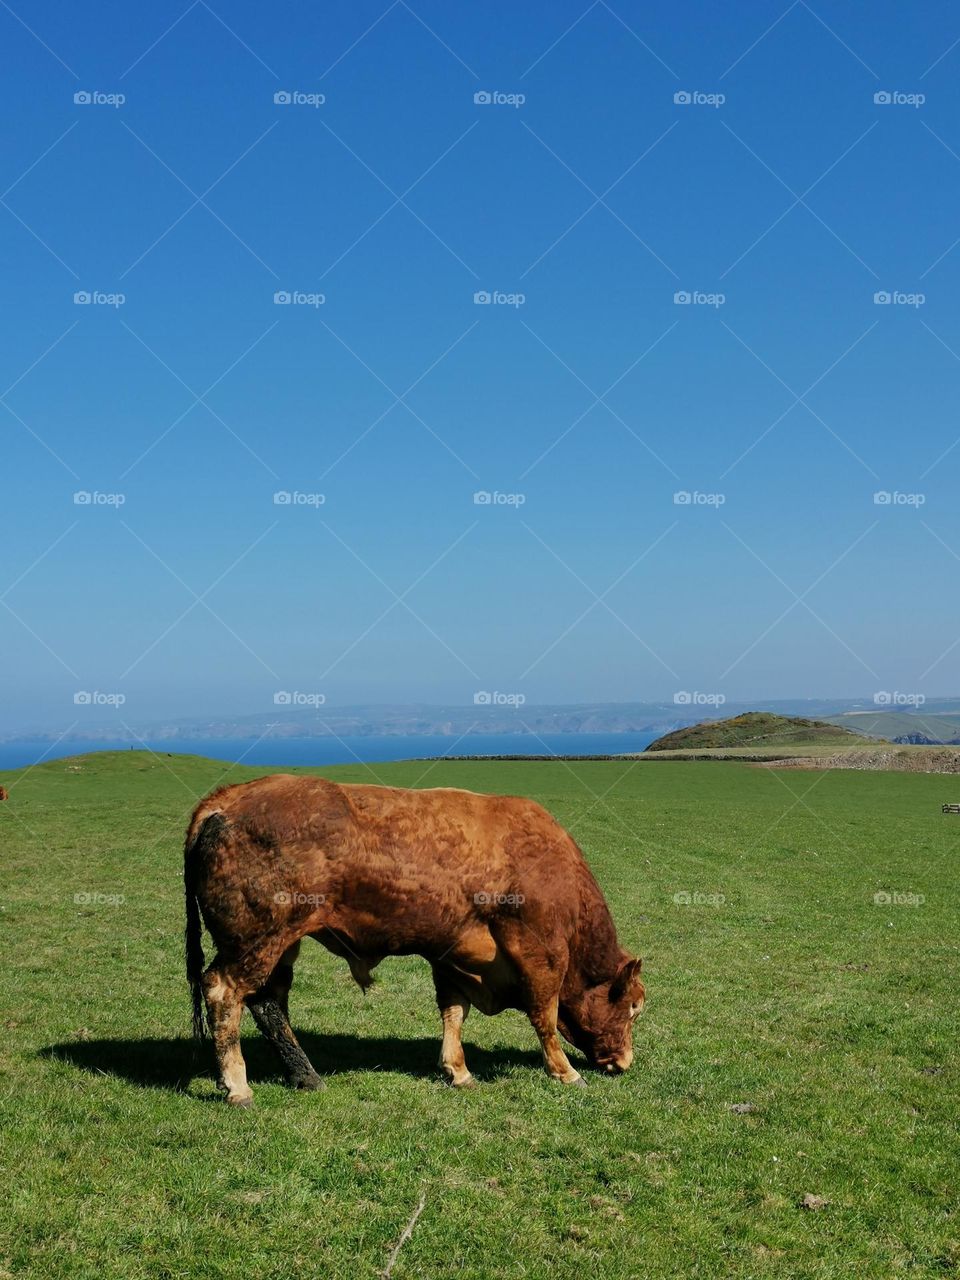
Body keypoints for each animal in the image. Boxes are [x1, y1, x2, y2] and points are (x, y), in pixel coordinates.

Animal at [184, 774, 644, 1106]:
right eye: (634, 1006)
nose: (626, 1061)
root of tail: (227, 799)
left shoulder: (454, 957)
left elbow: (454, 1013)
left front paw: (458, 1070)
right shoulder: (541, 955)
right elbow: (544, 1017)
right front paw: (565, 1072)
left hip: (280, 944)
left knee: (268, 1002)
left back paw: (305, 1075)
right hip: (257, 942)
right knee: (224, 990)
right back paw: (238, 1085)